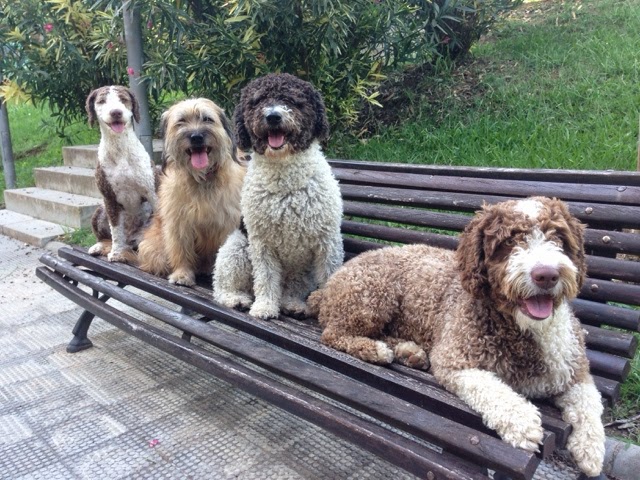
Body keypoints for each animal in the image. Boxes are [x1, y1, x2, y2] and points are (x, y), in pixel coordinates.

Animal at [85, 85, 157, 263]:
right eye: (101, 101)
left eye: (123, 99)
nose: (116, 112)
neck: (120, 149)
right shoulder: (109, 198)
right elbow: (116, 231)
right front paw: (117, 252)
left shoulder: (152, 191)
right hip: (99, 211)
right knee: (107, 237)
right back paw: (101, 247)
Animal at [137, 98, 245, 286]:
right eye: (181, 122)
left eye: (207, 119)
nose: (196, 137)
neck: (202, 179)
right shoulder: (179, 222)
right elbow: (181, 249)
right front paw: (182, 274)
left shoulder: (228, 223)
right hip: (153, 247)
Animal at [212, 73, 344, 320]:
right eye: (257, 101)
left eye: (292, 100)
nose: (273, 116)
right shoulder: (262, 244)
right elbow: (265, 278)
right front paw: (265, 307)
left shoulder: (327, 240)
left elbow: (330, 274)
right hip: (237, 247)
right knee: (222, 285)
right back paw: (236, 298)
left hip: (303, 270)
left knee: (293, 288)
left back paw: (294, 304)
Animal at [308, 197, 605, 477]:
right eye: (510, 241)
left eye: (558, 237)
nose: (546, 274)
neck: (525, 328)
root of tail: (331, 283)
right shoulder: (455, 358)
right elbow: (493, 389)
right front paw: (521, 421)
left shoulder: (574, 368)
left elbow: (590, 402)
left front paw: (591, 450)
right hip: (373, 293)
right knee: (333, 333)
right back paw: (374, 350)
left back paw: (409, 351)